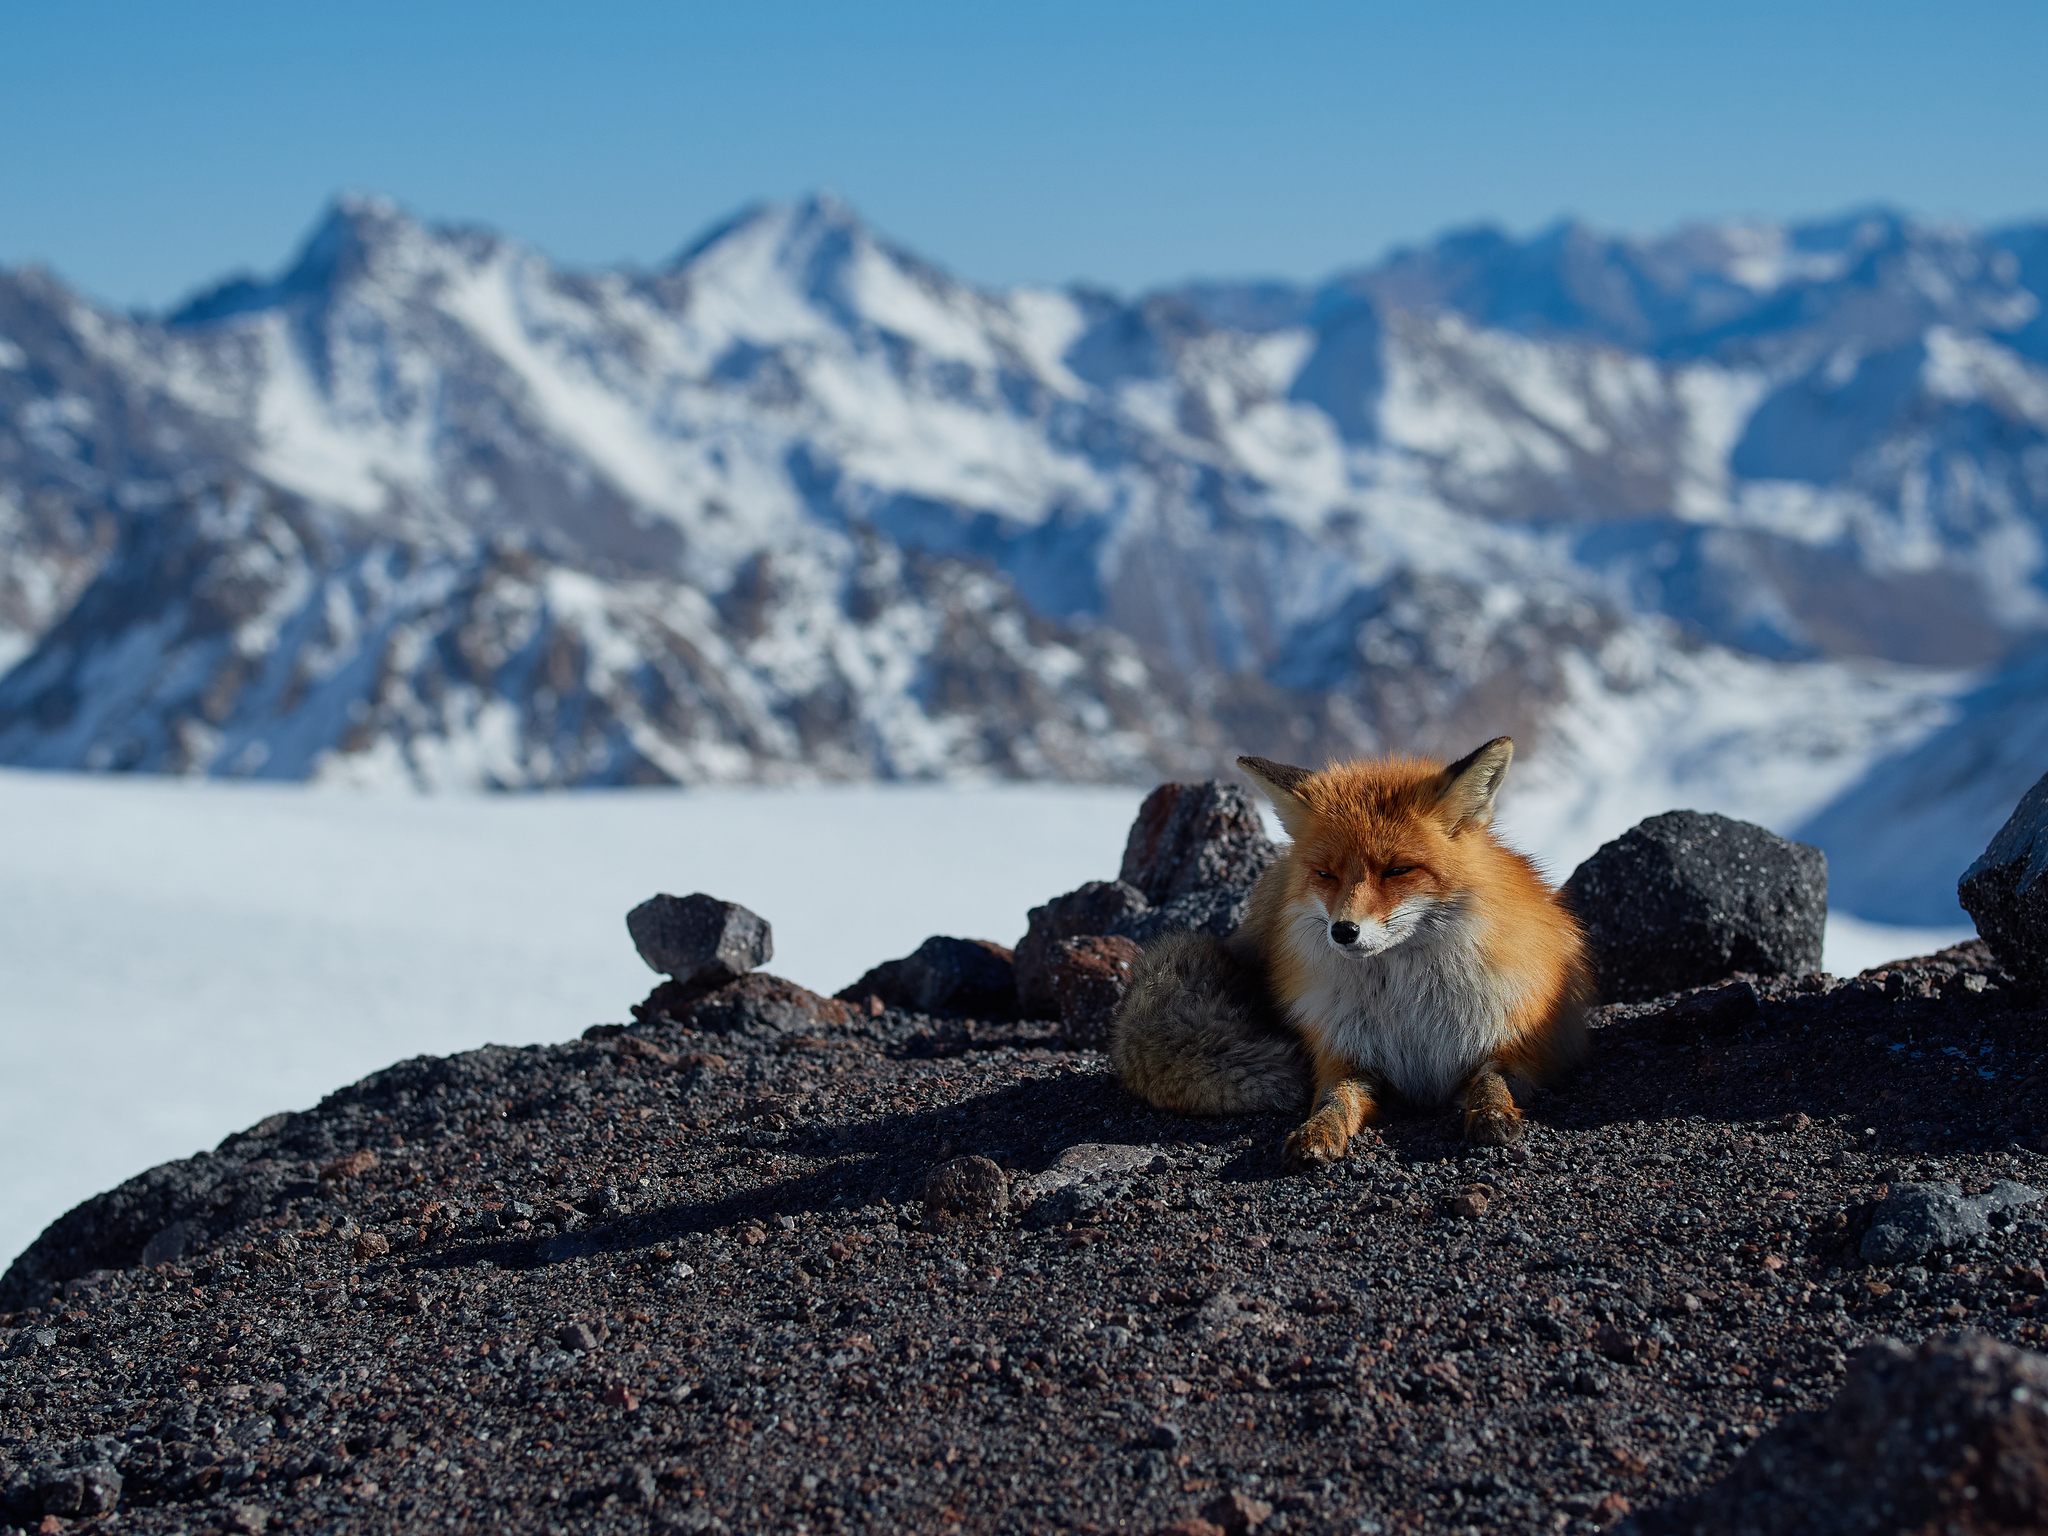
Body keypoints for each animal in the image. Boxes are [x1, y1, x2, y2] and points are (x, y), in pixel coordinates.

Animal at [1114, 741, 1589, 1163]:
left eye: (1398, 870)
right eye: (1326, 874)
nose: (1343, 931)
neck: (1409, 1012)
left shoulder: (1515, 1049)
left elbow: (1492, 1082)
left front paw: (1492, 1114)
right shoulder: (1345, 1058)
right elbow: (1333, 1101)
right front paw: (1316, 1133)